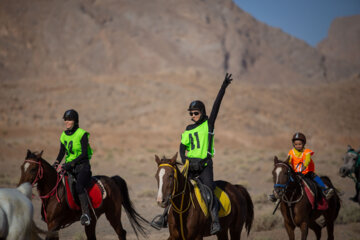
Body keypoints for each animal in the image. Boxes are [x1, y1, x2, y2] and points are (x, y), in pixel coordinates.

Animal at [17, 150, 148, 240]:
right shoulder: (52, 226)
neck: (54, 192)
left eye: (34, 169)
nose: (20, 187)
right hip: (92, 220)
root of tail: (111, 179)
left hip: (113, 215)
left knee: (121, 233)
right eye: (22, 167)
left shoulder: (54, 225)